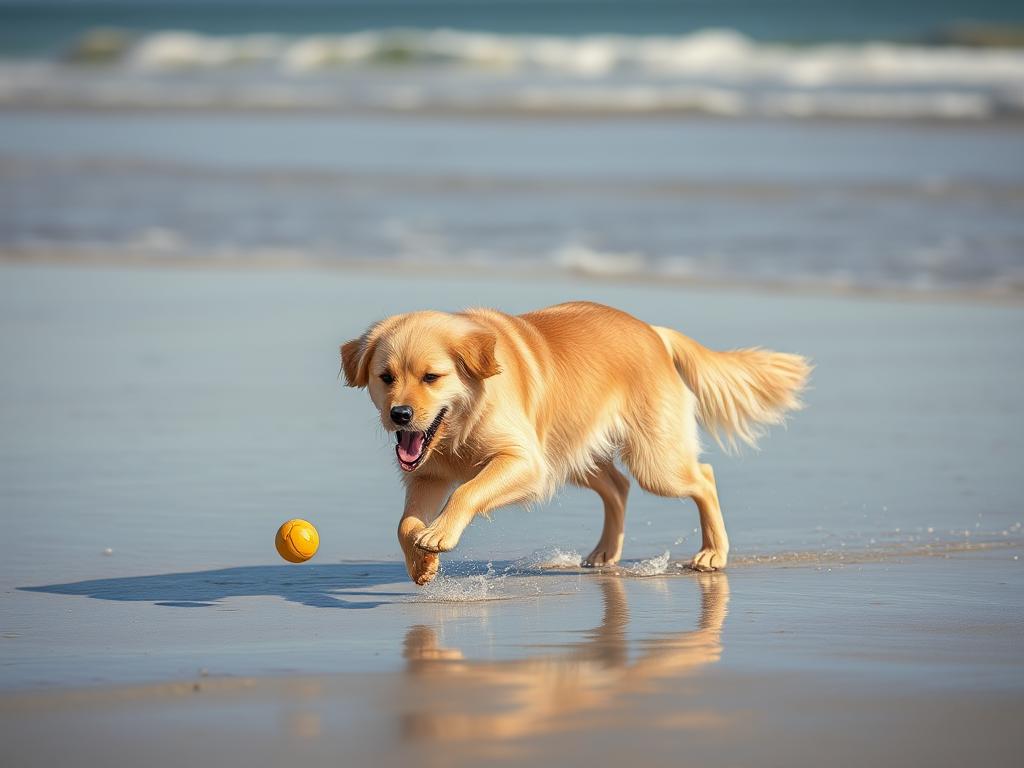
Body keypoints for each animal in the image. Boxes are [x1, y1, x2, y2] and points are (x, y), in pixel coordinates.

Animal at [339, 303, 811, 585]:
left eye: (431, 378)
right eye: (386, 377)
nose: (399, 415)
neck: (461, 423)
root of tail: (654, 333)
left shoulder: (525, 462)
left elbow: (468, 491)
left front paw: (438, 535)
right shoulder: (428, 475)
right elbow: (404, 524)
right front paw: (421, 563)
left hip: (651, 461)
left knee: (703, 479)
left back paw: (712, 553)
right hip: (571, 455)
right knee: (617, 487)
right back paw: (605, 552)